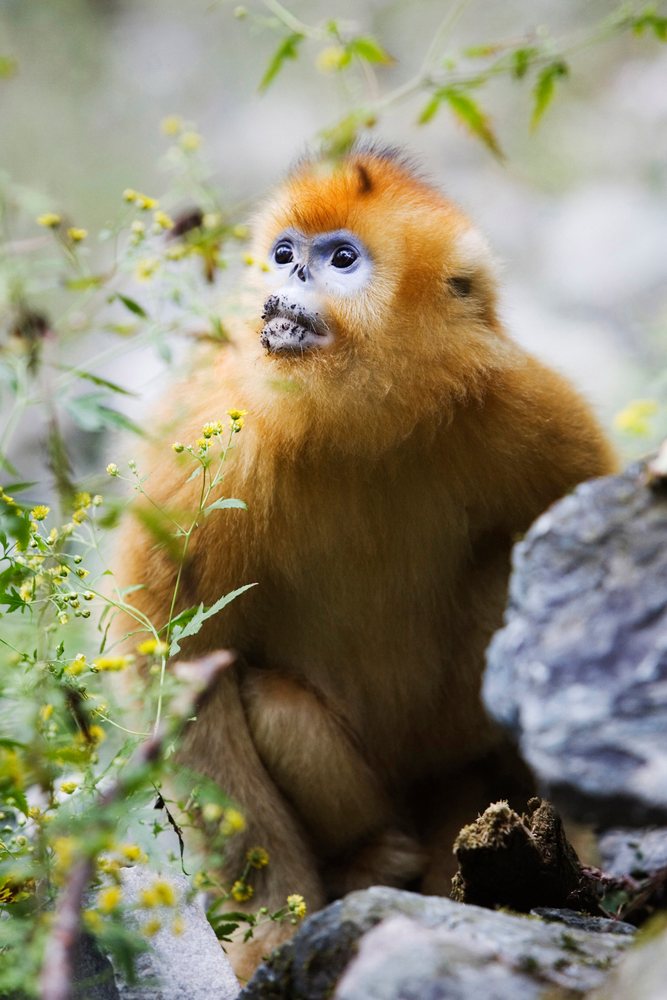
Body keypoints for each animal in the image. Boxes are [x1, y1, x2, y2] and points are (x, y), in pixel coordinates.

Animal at [114, 147, 616, 979]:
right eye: (284, 253)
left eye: (341, 260)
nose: (290, 280)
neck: (362, 420)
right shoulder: (211, 439)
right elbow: (182, 657)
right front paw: (270, 929)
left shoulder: (529, 406)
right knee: (269, 701)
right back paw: (372, 858)